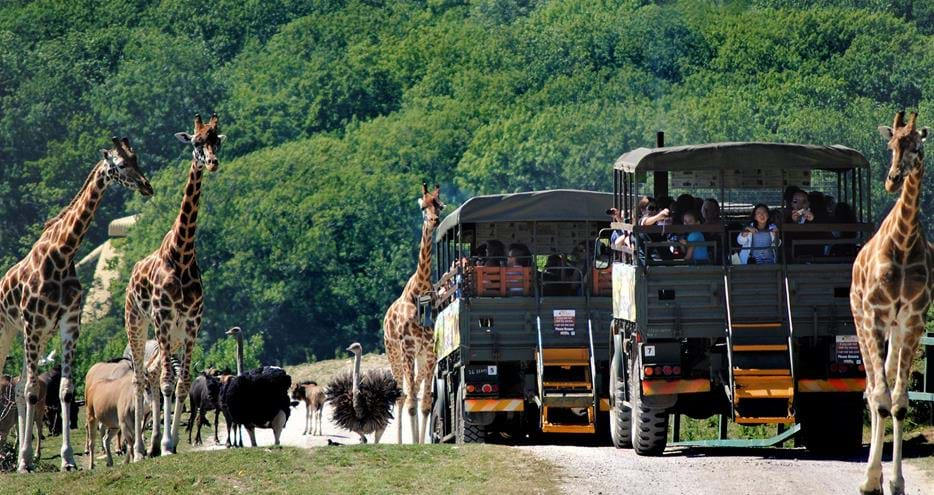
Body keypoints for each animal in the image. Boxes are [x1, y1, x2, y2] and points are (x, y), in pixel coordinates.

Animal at [0, 138, 154, 470]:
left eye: (136, 158)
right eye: (120, 165)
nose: (146, 186)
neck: (62, 253)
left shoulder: (68, 323)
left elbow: (65, 391)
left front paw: (66, 459)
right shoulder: (33, 323)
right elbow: (33, 392)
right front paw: (28, 462)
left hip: (36, 335)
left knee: (18, 387)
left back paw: (21, 456)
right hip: (10, 329)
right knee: (18, 386)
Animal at [125, 113, 226, 462]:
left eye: (216, 140)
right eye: (196, 142)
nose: (212, 162)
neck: (181, 255)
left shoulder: (193, 322)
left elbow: (181, 382)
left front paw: (171, 441)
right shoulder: (164, 318)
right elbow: (168, 382)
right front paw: (167, 444)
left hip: (174, 334)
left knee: (155, 376)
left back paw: (154, 441)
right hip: (140, 324)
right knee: (142, 377)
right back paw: (141, 449)